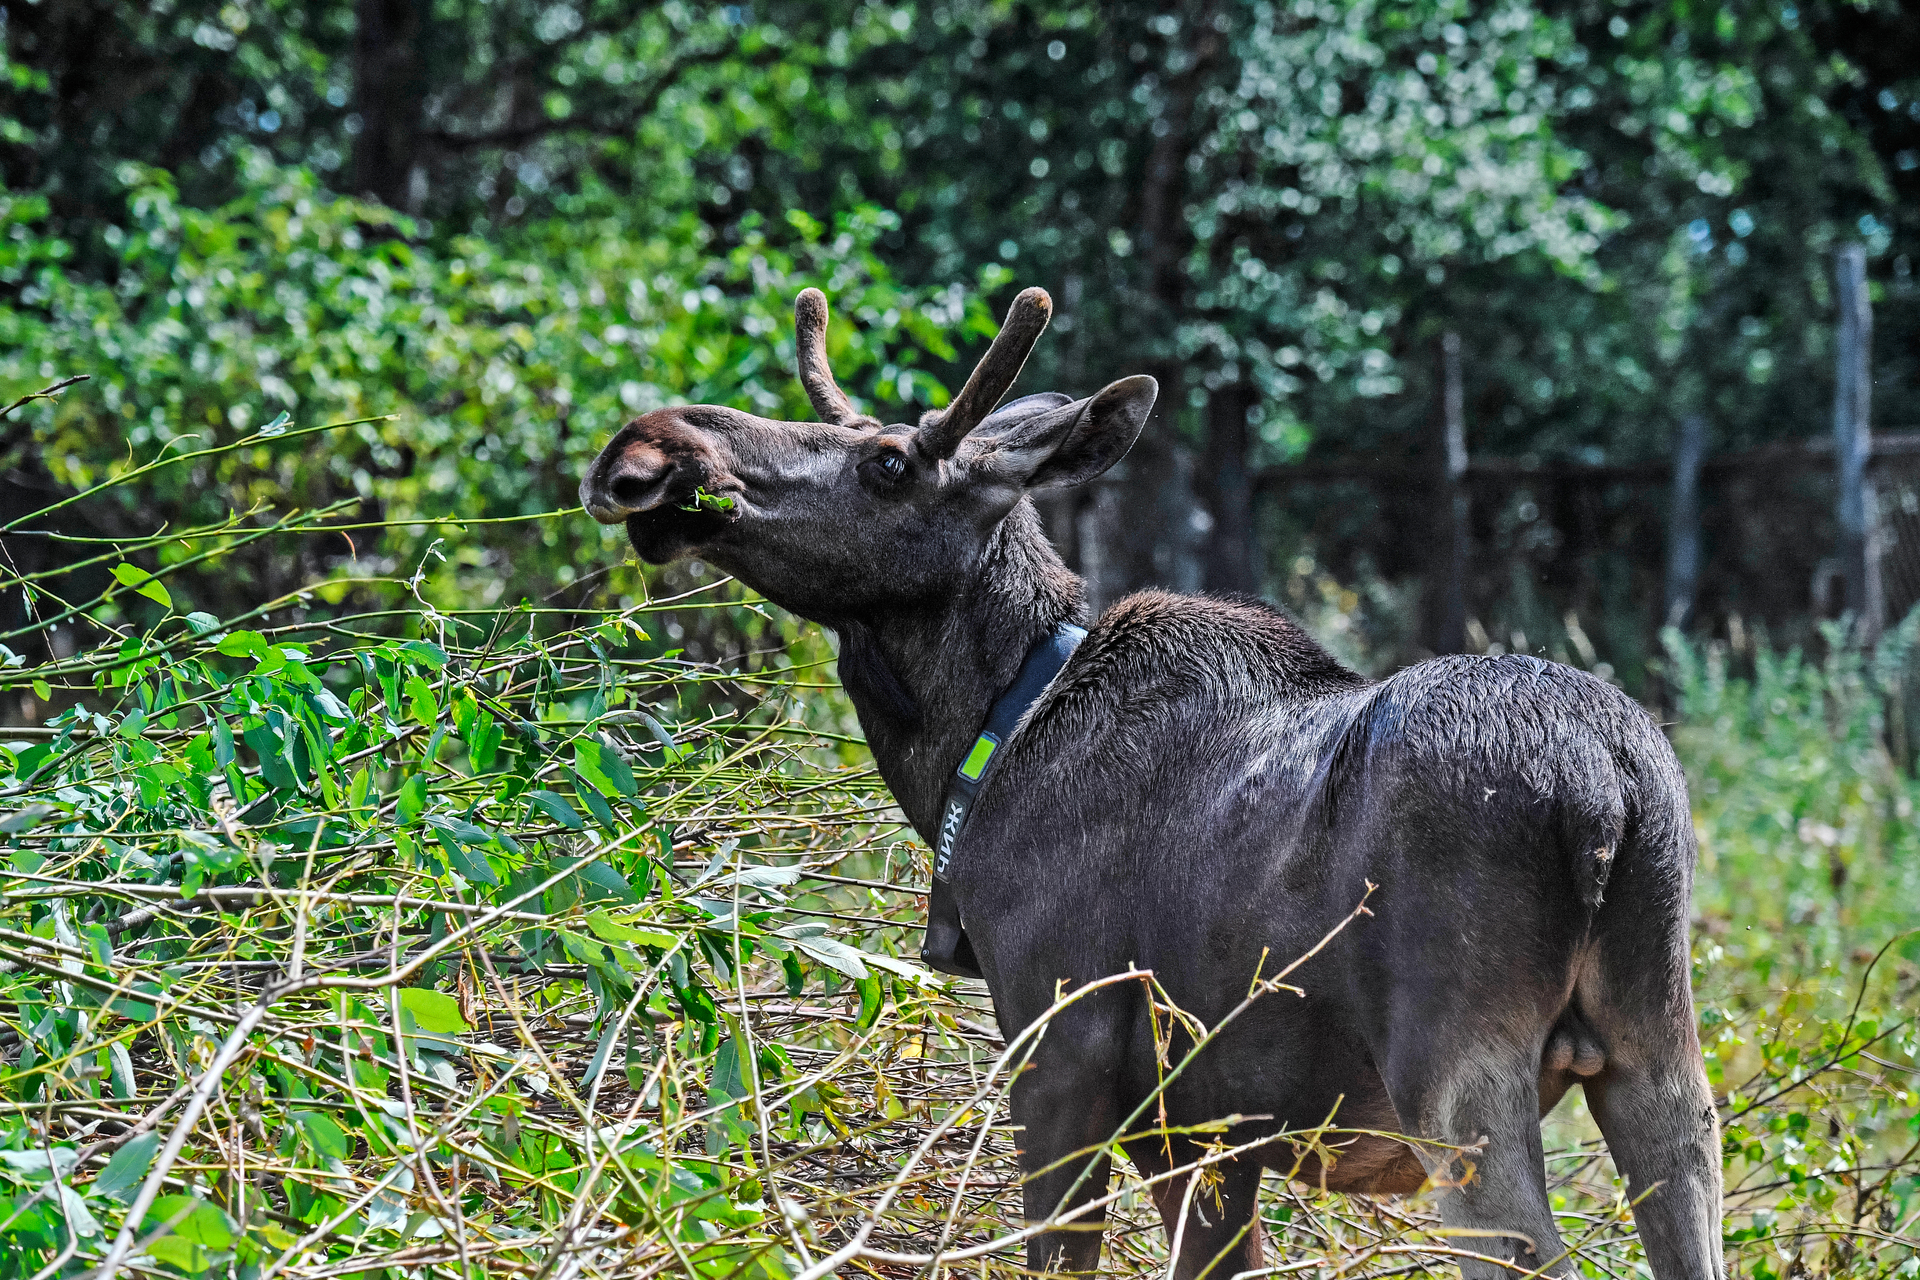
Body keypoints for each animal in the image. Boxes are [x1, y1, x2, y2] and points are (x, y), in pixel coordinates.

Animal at [572, 287, 1728, 1280]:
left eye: (889, 462)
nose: (652, 447)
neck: (976, 745)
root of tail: (1610, 794)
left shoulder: (1063, 1058)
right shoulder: (1203, 1131)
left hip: (1457, 1076)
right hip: (1660, 1058)